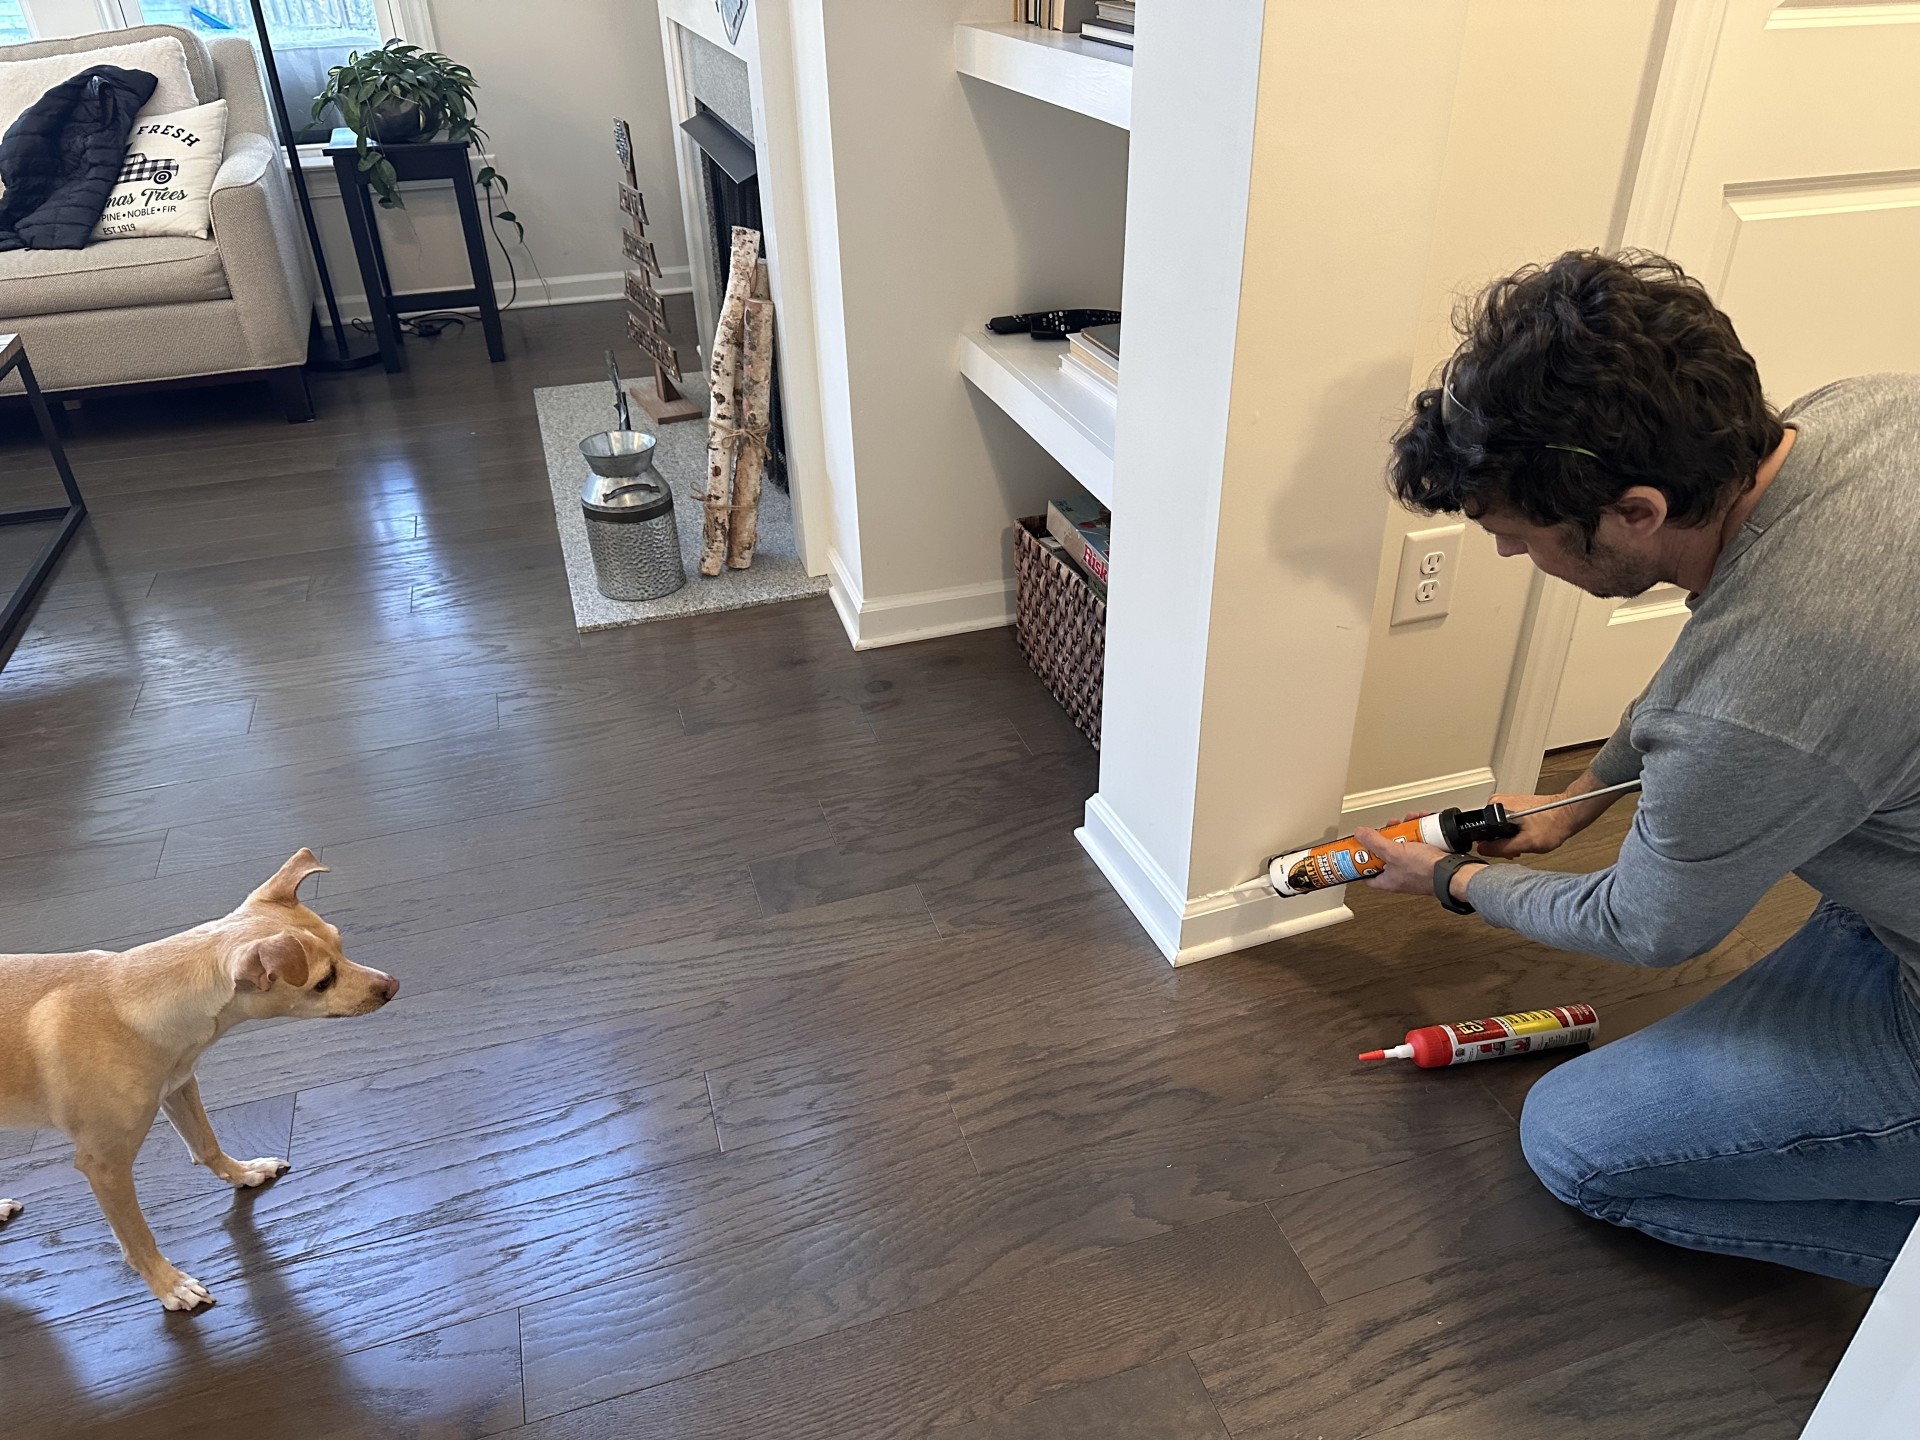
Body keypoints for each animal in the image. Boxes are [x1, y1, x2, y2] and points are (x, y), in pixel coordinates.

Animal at [0, 852, 395, 1313]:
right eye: (323, 981)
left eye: (340, 945)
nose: (392, 985)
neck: (130, 1001)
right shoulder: (105, 1165)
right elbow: (137, 1238)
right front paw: (169, 1285)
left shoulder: (179, 1086)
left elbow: (206, 1144)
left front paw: (245, 1173)